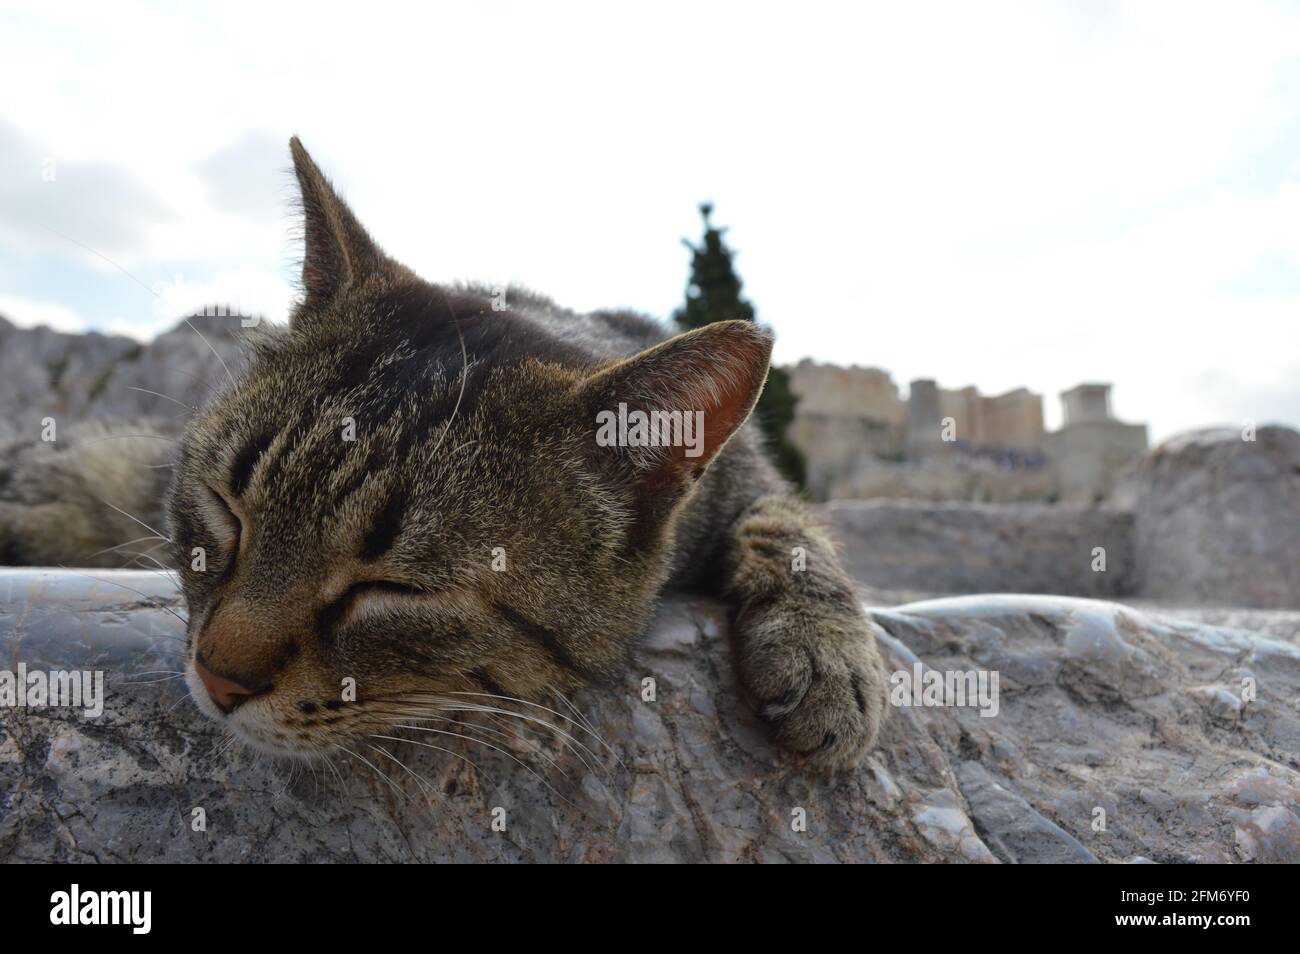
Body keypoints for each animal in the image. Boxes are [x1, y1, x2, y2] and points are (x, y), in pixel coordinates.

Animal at [15, 140, 889, 769]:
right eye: (228, 510)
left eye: (395, 588)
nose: (217, 679)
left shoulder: (751, 477)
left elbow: (792, 526)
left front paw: (830, 658)